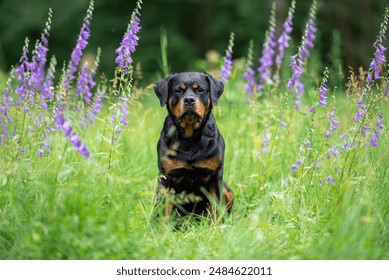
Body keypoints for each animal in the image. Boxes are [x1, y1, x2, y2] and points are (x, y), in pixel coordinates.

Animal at [154, 72, 233, 221]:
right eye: (178, 90)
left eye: (200, 90)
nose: (189, 100)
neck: (189, 138)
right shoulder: (167, 179)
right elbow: (166, 210)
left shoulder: (215, 176)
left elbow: (216, 208)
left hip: (227, 190)